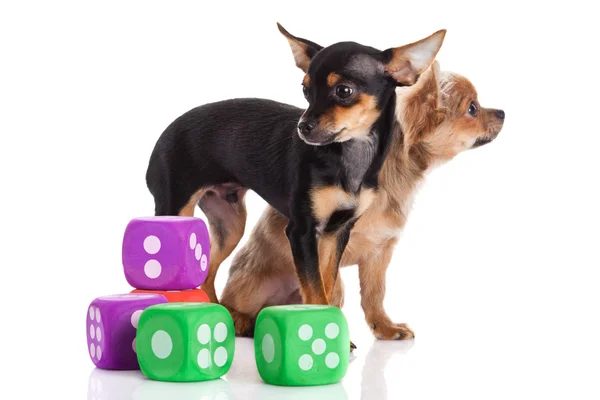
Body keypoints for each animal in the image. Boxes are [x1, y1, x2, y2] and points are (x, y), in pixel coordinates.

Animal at [145, 23, 446, 320]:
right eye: (305, 90)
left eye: (344, 91)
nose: (303, 127)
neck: (350, 156)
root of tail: (165, 133)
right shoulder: (302, 233)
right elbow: (315, 292)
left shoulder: (335, 234)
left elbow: (326, 286)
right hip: (175, 211)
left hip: (229, 224)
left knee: (207, 273)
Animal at [213, 61, 504, 340]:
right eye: (473, 108)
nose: (502, 112)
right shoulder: (325, 241)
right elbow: (331, 291)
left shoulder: (379, 252)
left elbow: (374, 294)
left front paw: (384, 327)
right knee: (229, 304)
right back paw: (242, 321)